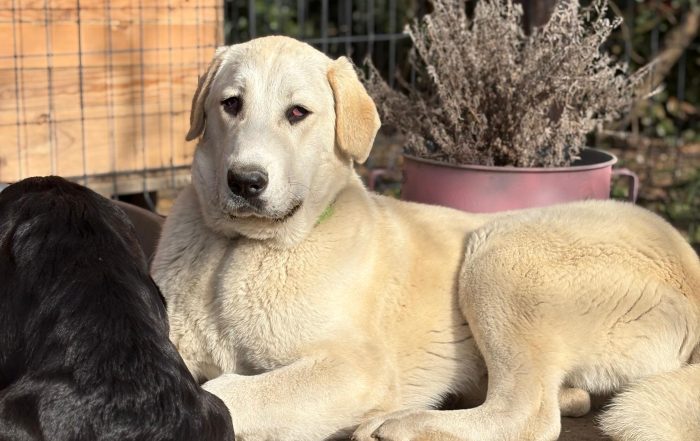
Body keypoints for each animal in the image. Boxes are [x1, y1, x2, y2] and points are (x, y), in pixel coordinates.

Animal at [152, 36, 700, 441]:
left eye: (297, 113)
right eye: (231, 104)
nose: (245, 181)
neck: (238, 249)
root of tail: (687, 260)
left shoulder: (357, 367)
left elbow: (232, 392)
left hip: (499, 255)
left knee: (528, 414)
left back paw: (401, 425)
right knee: (566, 397)